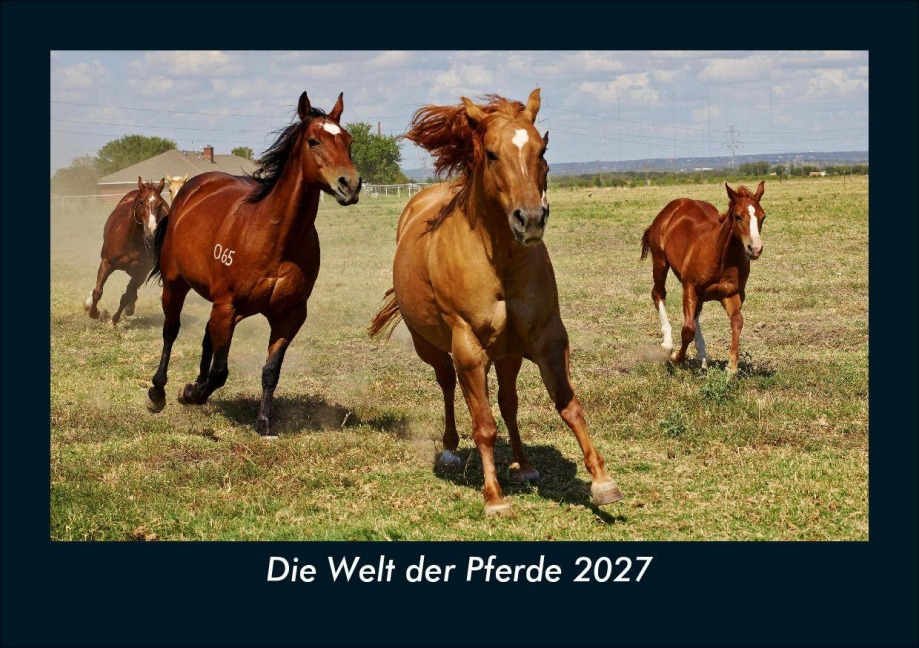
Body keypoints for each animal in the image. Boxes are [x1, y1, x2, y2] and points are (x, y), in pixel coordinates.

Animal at [84, 177, 168, 325]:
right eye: (141, 202)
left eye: (160, 204)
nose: (152, 230)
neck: (131, 241)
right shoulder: (106, 263)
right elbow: (98, 291)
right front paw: (94, 313)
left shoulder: (141, 272)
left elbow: (126, 296)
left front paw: (114, 320)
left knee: (132, 292)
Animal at [146, 92, 362, 437]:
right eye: (313, 141)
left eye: (348, 140)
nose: (350, 184)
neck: (273, 238)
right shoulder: (227, 305)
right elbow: (220, 371)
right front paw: (191, 393)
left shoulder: (289, 315)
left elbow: (270, 371)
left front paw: (263, 422)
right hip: (176, 285)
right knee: (171, 331)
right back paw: (158, 392)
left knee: (207, 336)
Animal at [369, 89, 622, 516]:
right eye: (490, 154)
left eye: (541, 149)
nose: (531, 219)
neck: (499, 262)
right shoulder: (469, 348)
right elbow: (484, 425)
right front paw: (494, 497)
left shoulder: (547, 338)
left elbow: (568, 406)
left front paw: (602, 482)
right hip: (433, 347)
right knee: (448, 385)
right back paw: (451, 451)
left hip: (507, 354)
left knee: (508, 402)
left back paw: (524, 464)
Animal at [640, 181, 767, 374]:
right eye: (738, 217)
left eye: (763, 217)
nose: (755, 249)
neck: (721, 258)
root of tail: (674, 206)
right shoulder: (689, 287)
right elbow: (687, 329)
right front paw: (676, 357)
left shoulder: (732, 294)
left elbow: (737, 322)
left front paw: (732, 367)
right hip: (660, 261)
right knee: (658, 294)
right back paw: (667, 343)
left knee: (696, 313)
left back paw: (702, 356)